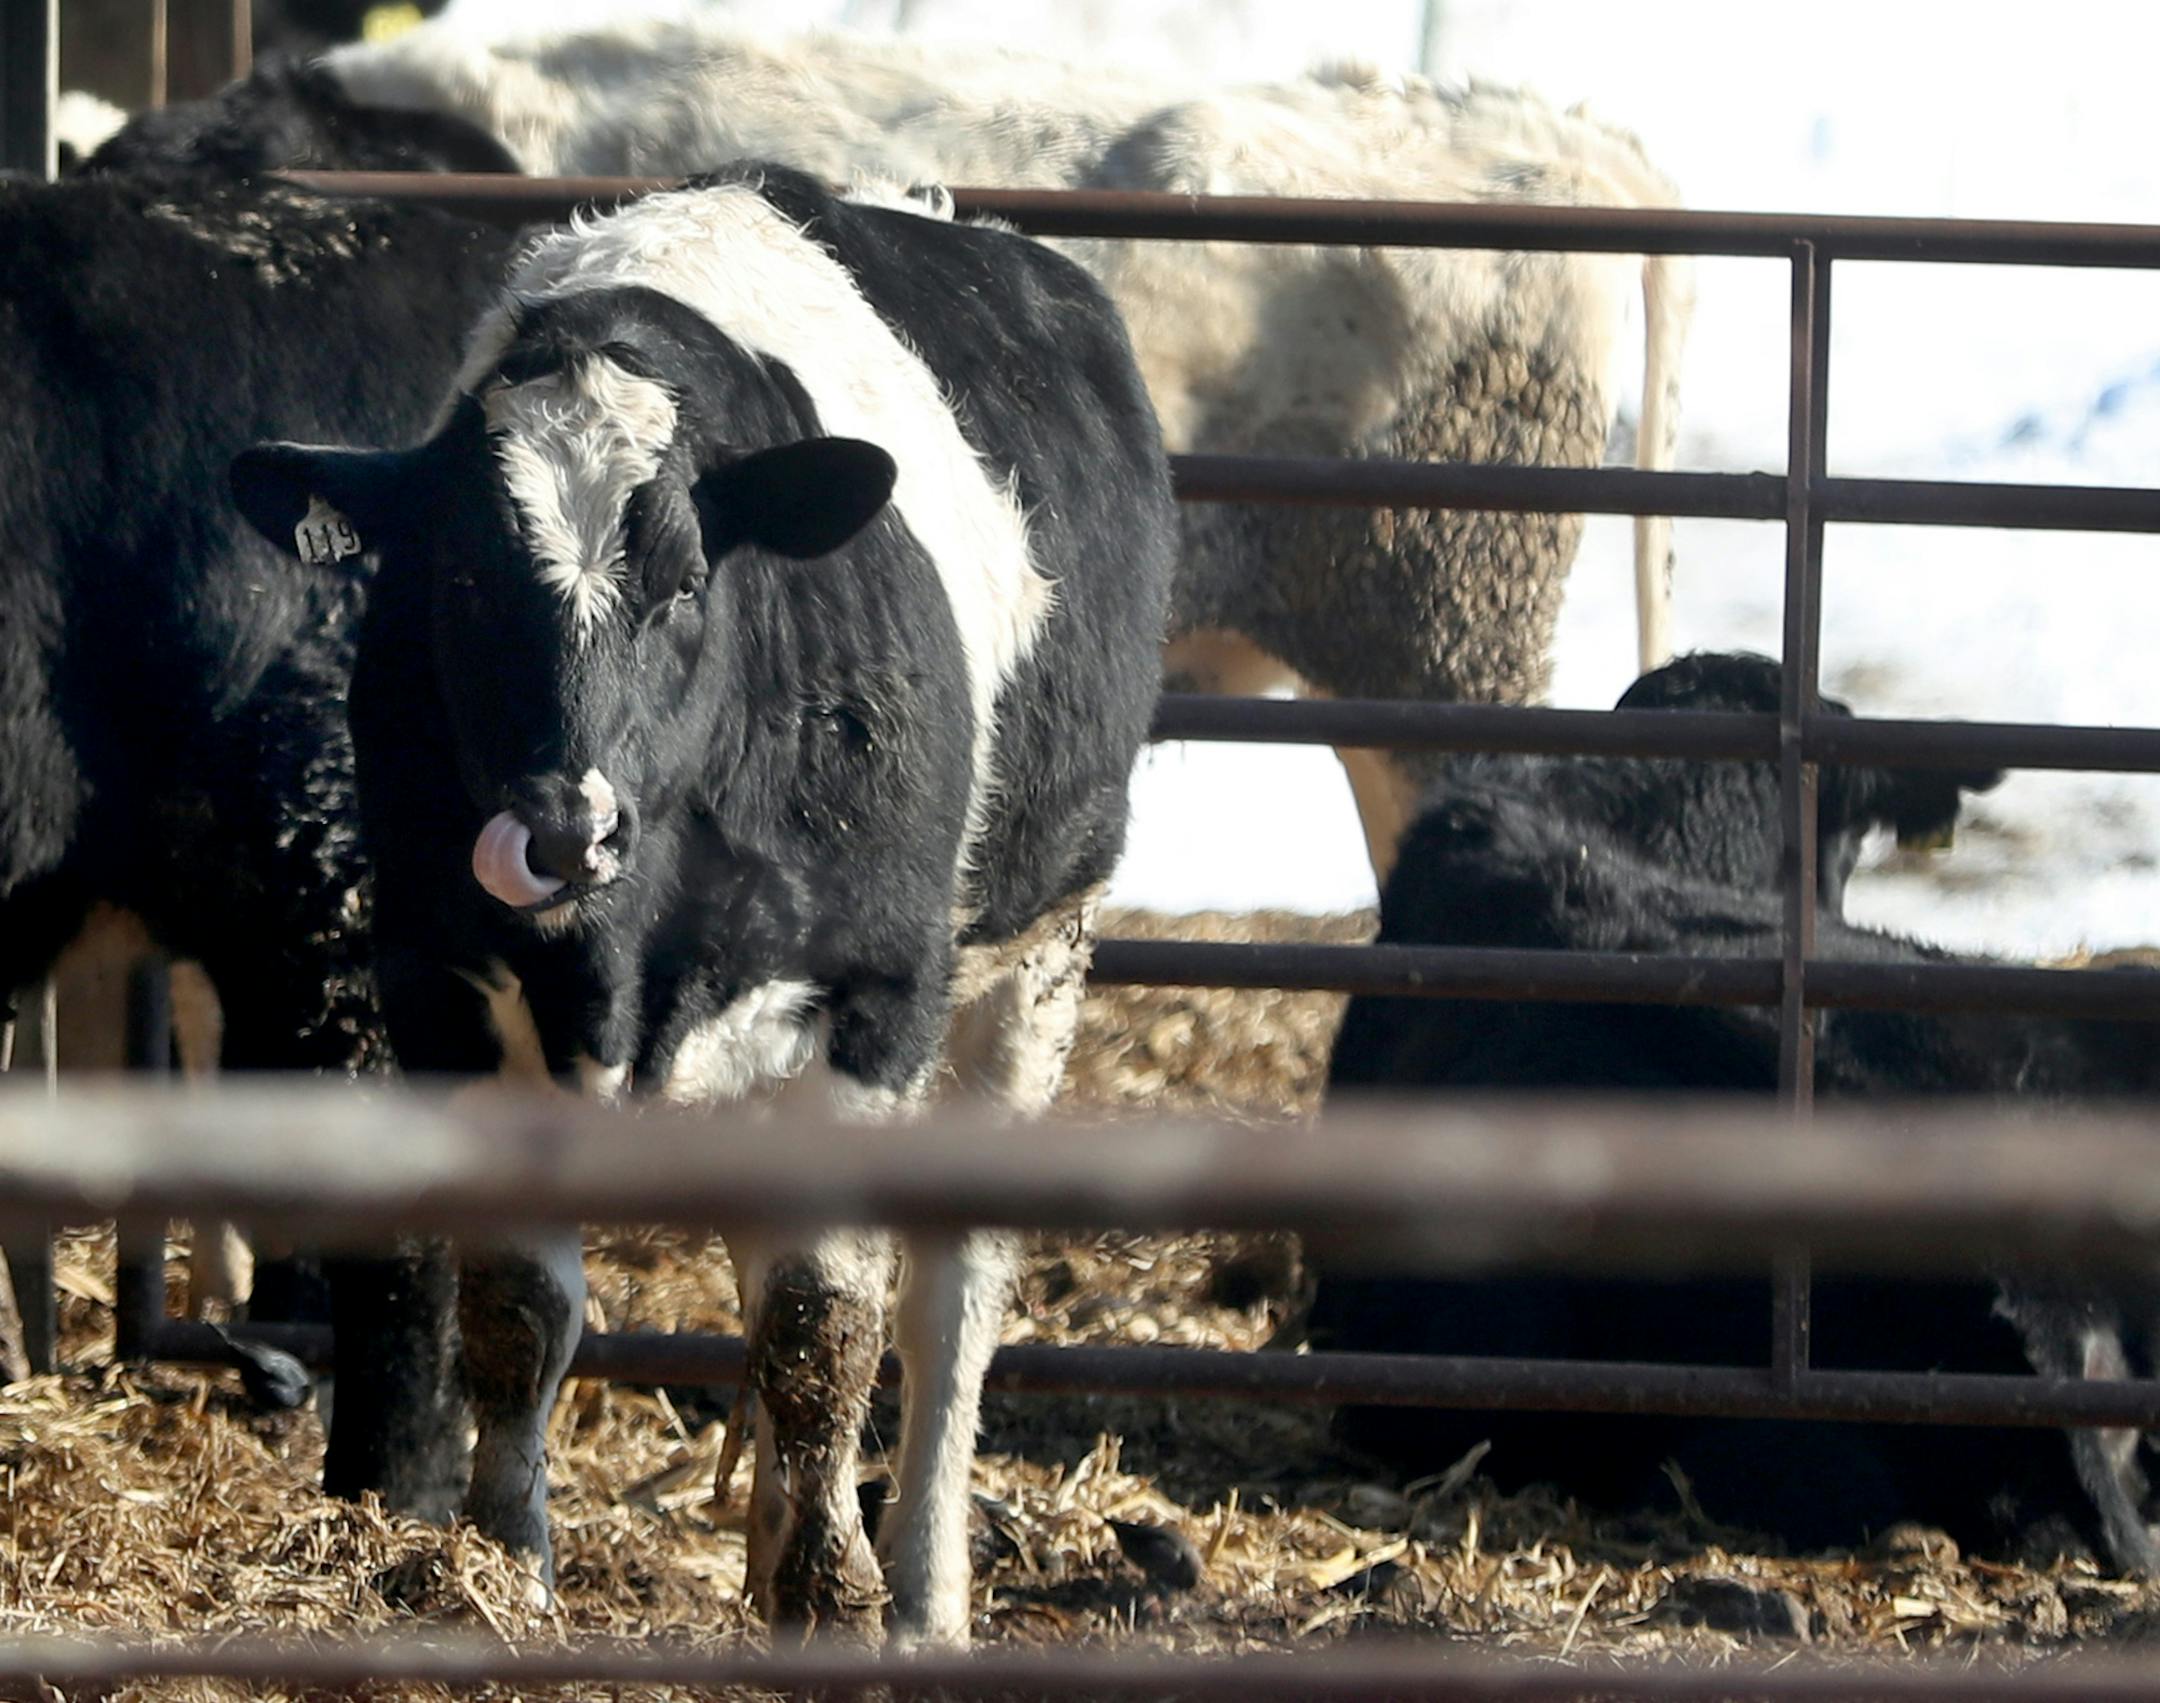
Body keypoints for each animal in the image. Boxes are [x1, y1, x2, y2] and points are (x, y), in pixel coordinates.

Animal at [230, 163, 1177, 1645]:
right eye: (458, 578)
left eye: (684, 582)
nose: (563, 829)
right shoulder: (442, 991)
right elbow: (518, 1314)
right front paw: (506, 1571)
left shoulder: (868, 1000)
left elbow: (822, 1321)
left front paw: (836, 1598)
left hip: (1039, 960)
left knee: (950, 1303)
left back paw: (921, 1587)